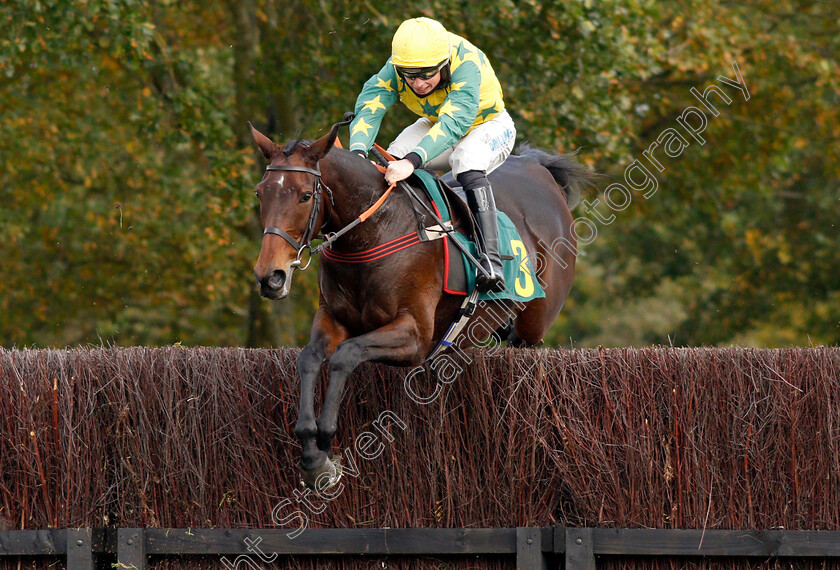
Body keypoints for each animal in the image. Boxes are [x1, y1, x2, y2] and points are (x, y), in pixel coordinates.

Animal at [253, 117, 588, 486]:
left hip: (535, 324)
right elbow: (310, 358)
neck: (374, 231)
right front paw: (313, 454)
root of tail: (537, 167)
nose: (270, 276)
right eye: (260, 193)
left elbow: (346, 354)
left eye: (305, 195)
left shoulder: (415, 335)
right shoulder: (333, 317)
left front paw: (326, 438)